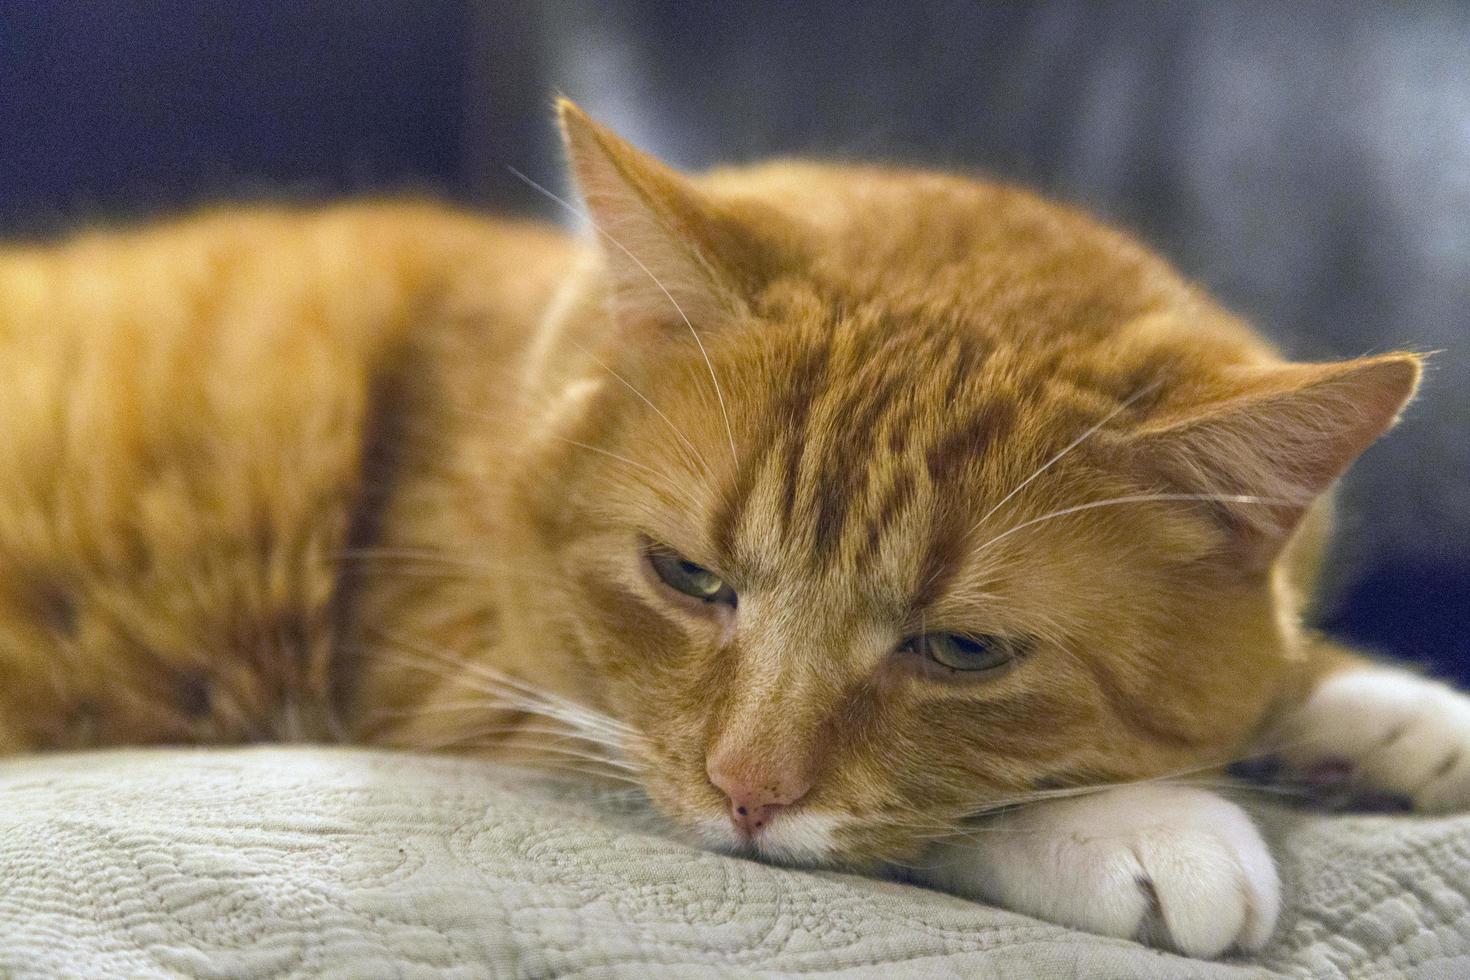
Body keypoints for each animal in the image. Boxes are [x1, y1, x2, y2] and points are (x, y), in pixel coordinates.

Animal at [0, 101, 1458, 957]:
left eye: (961, 651)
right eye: (686, 576)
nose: (748, 791)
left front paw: (1372, 710)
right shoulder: (471, 687)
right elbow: (932, 813)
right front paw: (1142, 822)